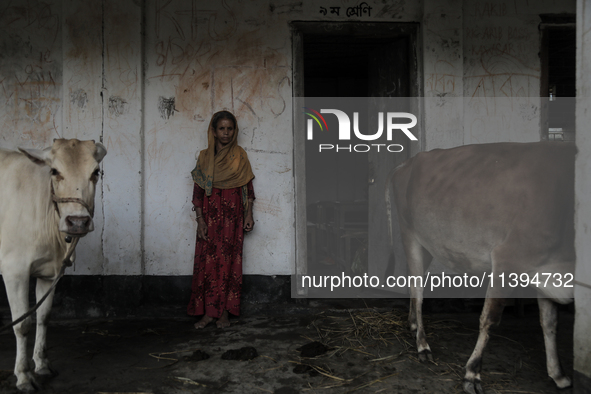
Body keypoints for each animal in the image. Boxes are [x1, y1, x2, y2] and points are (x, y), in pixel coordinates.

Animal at [0, 139, 106, 390]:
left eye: (96, 172)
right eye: (54, 171)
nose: (78, 221)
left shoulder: (50, 273)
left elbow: (44, 316)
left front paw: (41, 364)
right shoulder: (14, 271)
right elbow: (22, 324)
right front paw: (24, 375)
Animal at [390, 142, 576, 394]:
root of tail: (408, 162)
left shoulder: (548, 271)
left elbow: (550, 324)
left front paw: (558, 374)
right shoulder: (508, 258)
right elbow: (489, 319)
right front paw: (472, 373)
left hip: (427, 244)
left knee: (411, 283)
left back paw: (412, 324)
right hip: (409, 235)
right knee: (418, 292)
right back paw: (422, 344)